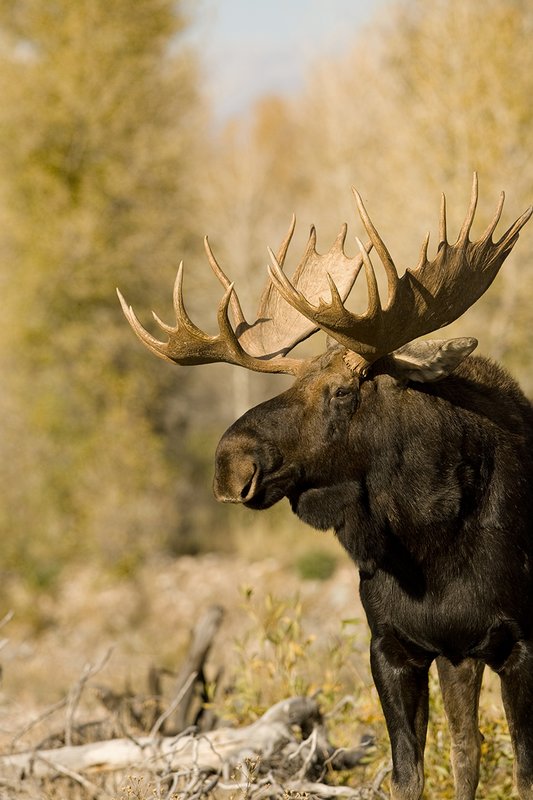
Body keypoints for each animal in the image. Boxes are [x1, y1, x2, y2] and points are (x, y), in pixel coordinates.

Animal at [118, 174, 533, 800]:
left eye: (343, 390)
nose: (230, 462)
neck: (433, 541)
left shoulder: (521, 643)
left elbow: (525, 772)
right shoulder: (395, 646)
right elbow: (410, 773)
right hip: (457, 659)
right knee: (467, 749)